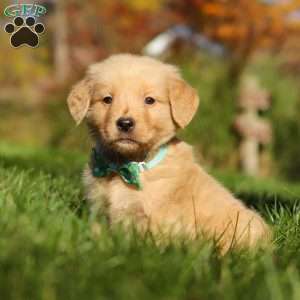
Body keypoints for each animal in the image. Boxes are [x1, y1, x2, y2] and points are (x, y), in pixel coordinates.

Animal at [67, 53, 270, 251]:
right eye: (107, 99)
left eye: (149, 100)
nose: (125, 123)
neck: (126, 166)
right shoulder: (99, 210)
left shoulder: (157, 220)